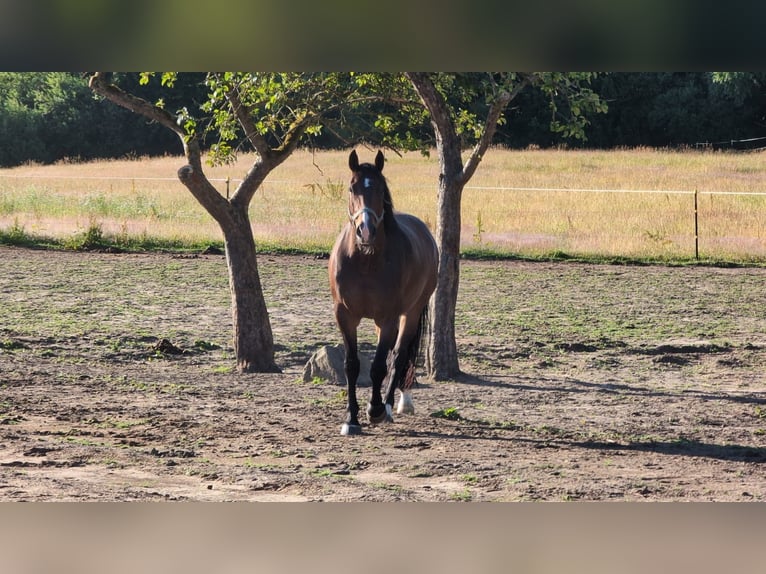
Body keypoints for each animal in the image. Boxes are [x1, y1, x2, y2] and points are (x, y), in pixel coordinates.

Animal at [329, 149, 438, 435]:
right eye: (352, 187)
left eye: (379, 189)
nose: (365, 230)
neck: (366, 261)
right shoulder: (344, 316)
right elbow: (352, 365)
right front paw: (351, 418)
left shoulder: (389, 317)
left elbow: (379, 366)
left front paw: (375, 409)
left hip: (410, 313)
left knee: (398, 357)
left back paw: (389, 405)